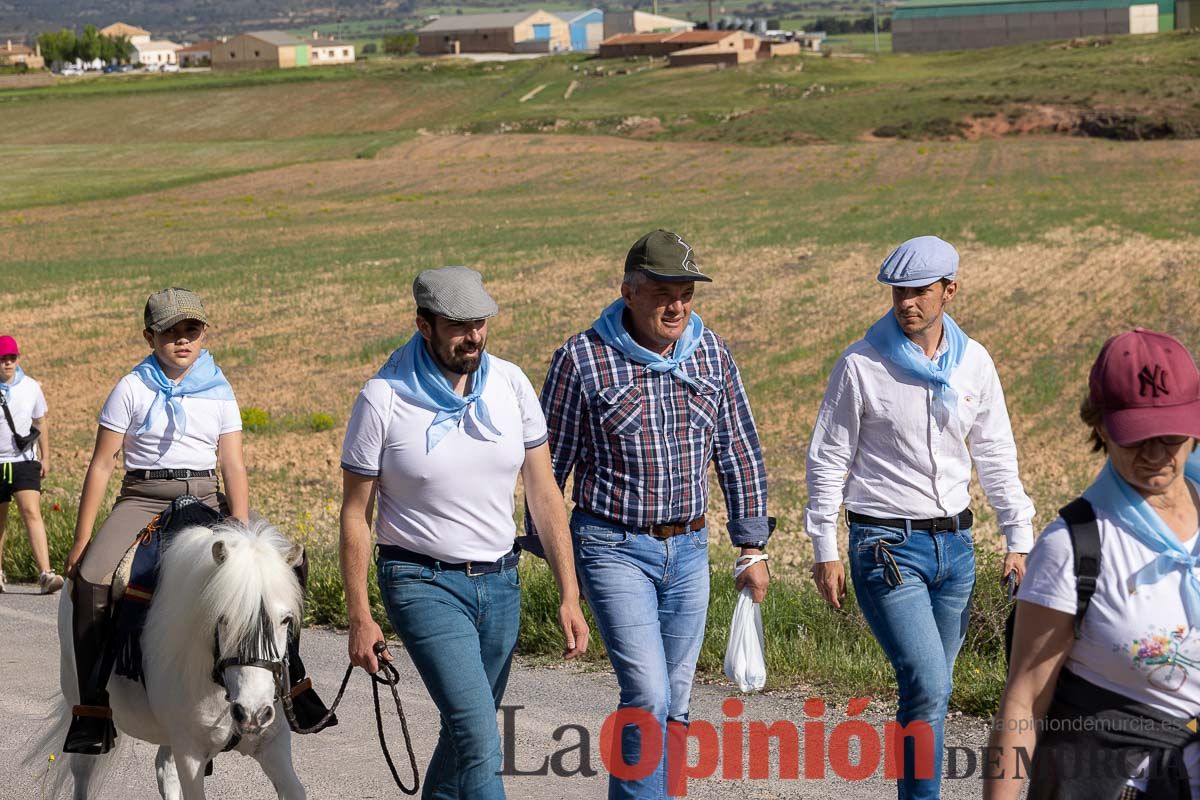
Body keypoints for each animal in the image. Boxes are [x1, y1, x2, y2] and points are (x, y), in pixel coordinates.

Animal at [35, 515, 312, 796]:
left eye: (286, 620)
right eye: (223, 619)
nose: (252, 712)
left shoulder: (272, 745)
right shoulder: (190, 754)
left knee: (164, 770)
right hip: (78, 701)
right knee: (82, 767)